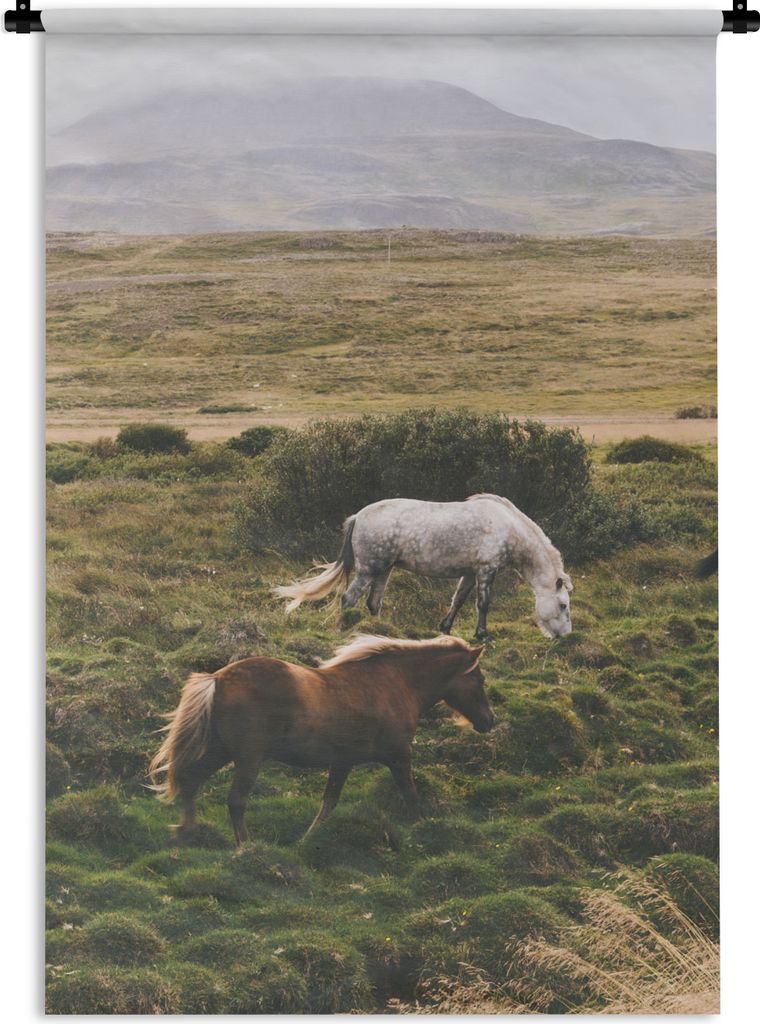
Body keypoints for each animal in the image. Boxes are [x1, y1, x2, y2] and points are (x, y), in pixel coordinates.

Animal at [149, 634, 493, 845]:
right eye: (479, 678)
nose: (489, 721)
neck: (396, 683)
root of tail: (218, 679)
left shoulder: (342, 763)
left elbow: (328, 804)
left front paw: (307, 839)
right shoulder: (398, 757)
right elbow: (411, 797)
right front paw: (424, 830)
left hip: (221, 752)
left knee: (190, 780)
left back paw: (185, 832)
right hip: (247, 758)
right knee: (235, 800)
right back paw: (244, 846)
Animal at [274, 493, 573, 642]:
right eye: (563, 605)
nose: (564, 637)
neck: (508, 528)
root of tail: (358, 516)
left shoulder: (469, 572)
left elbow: (458, 600)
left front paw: (446, 627)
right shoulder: (486, 570)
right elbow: (483, 604)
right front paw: (482, 635)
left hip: (384, 570)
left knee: (373, 602)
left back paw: (380, 631)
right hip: (370, 569)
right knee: (349, 599)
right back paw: (346, 628)